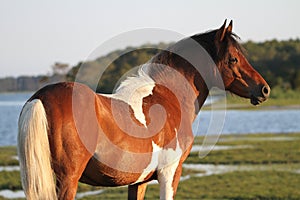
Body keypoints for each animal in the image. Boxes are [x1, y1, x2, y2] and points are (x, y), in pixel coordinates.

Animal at [17, 19, 270, 199]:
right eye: (233, 59)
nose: (264, 89)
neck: (169, 99)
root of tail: (40, 97)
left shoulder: (138, 182)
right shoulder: (169, 174)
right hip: (67, 180)